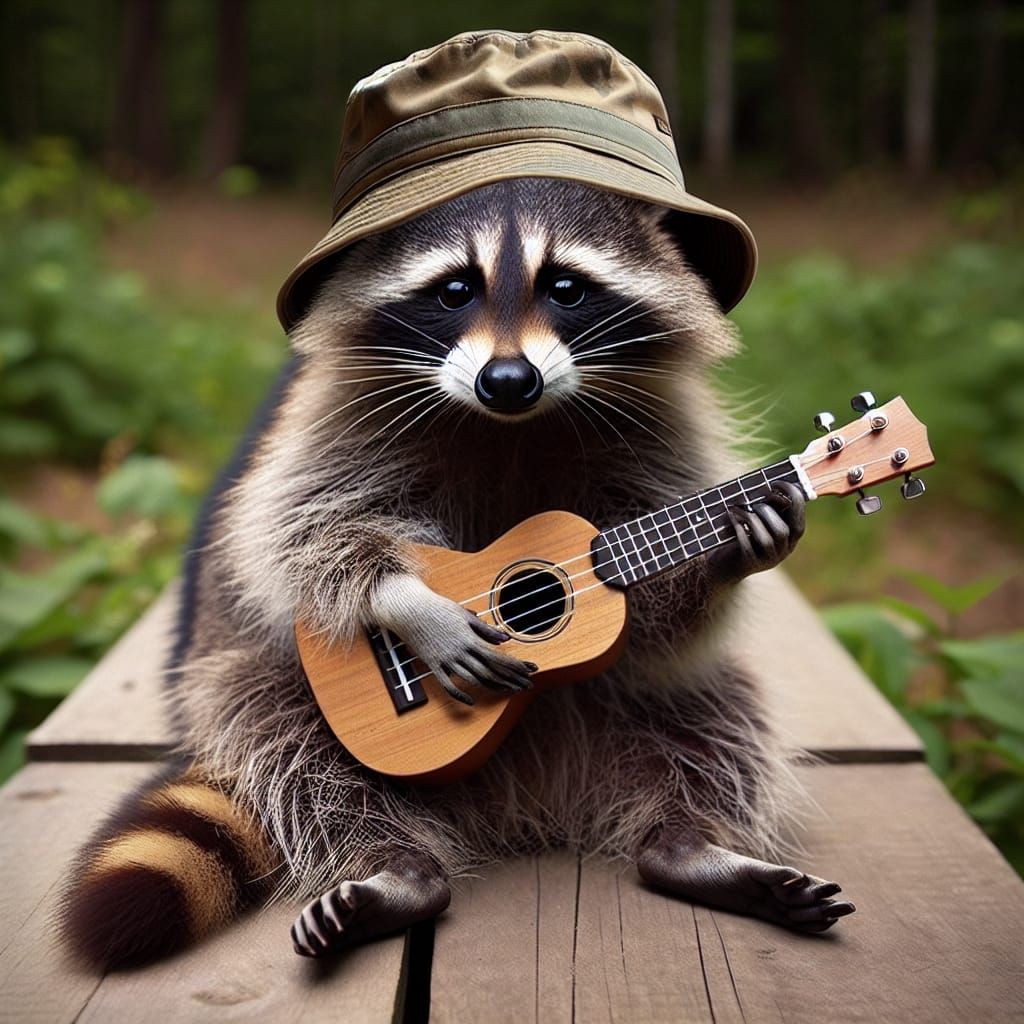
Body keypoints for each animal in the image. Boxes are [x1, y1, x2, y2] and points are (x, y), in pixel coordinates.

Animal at [62, 178, 853, 970]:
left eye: (566, 288)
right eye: (454, 291)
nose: (508, 380)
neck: (509, 424)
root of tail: (525, 808)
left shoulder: (659, 428)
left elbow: (663, 621)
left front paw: (737, 546)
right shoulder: (333, 417)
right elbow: (302, 531)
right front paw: (411, 605)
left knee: (714, 717)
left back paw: (691, 845)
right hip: (261, 685)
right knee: (284, 736)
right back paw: (393, 865)